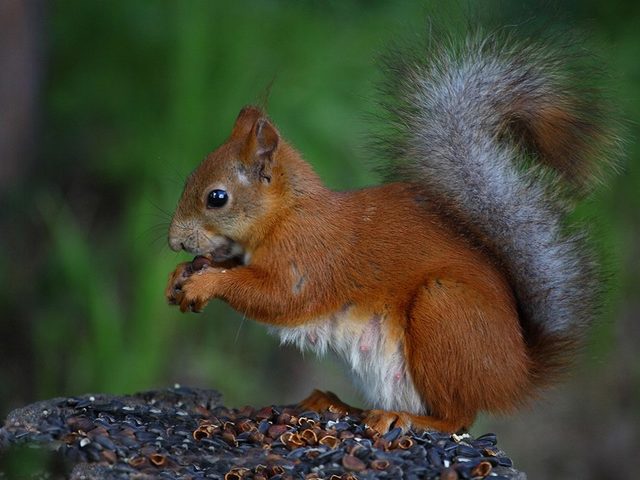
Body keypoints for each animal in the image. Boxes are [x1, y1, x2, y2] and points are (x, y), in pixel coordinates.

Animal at [165, 30, 619, 434]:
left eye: (217, 198)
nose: (174, 241)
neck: (286, 214)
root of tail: (516, 374)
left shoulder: (309, 256)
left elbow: (277, 297)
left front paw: (206, 283)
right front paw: (180, 275)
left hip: (445, 314)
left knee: (457, 417)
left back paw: (402, 418)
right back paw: (336, 404)